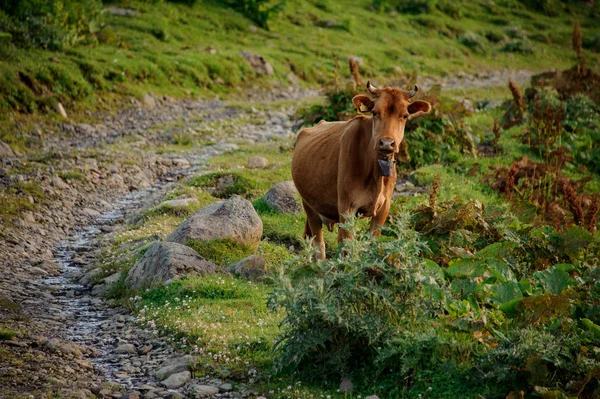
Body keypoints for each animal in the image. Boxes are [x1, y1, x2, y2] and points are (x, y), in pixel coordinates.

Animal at [292, 83, 428, 260]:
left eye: (405, 115)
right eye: (375, 112)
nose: (386, 143)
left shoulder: (384, 208)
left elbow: (370, 243)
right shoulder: (346, 206)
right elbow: (349, 248)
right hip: (309, 203)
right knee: (319, 244)